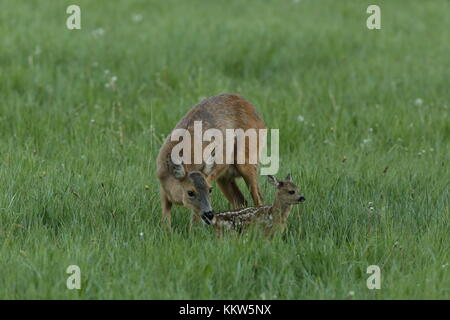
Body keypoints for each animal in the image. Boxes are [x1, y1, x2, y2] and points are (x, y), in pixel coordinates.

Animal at [156, 94, 266, 229]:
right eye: (190, 192)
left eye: (210, 189)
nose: (209, 213)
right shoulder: (163, 191)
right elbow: (165, 221)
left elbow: (195, 222)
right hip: (223, 177)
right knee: (241, 201)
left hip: (247, 161)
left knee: (259, 199)